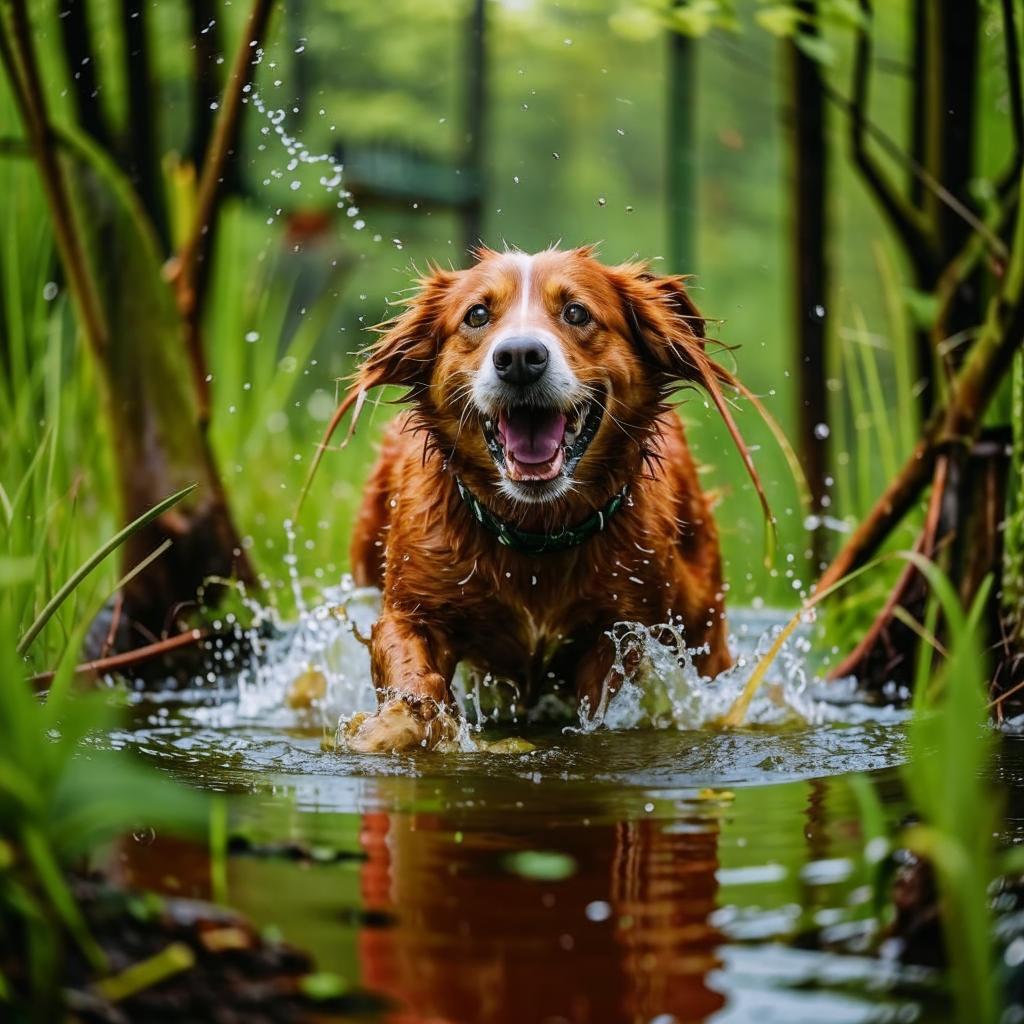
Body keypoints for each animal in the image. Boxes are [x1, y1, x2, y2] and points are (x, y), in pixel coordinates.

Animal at [329, 242, 770, 749]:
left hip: (704, 626)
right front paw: (394, 728)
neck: (535, 533)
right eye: (477, 314)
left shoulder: (618, 631)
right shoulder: (410, 612)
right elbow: (412, 683)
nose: (520, 356)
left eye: (576, 312)